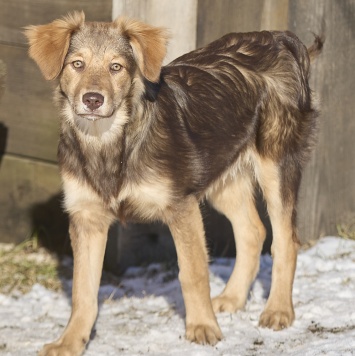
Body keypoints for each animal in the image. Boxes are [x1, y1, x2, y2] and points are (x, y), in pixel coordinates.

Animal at [25, 11, 324, 356]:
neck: (109, 142)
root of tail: (279, 39)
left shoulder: (181, 206)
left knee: (285, 240)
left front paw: (203, 328)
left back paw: (278, 310)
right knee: (253, 231)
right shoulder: (86, 218)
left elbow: (193, 273)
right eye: (77, 64)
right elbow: (83, 291)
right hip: (220, 174)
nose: (93, 100)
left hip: (276, 165)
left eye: (116, 67)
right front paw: (70, 341)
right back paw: (233, 298)